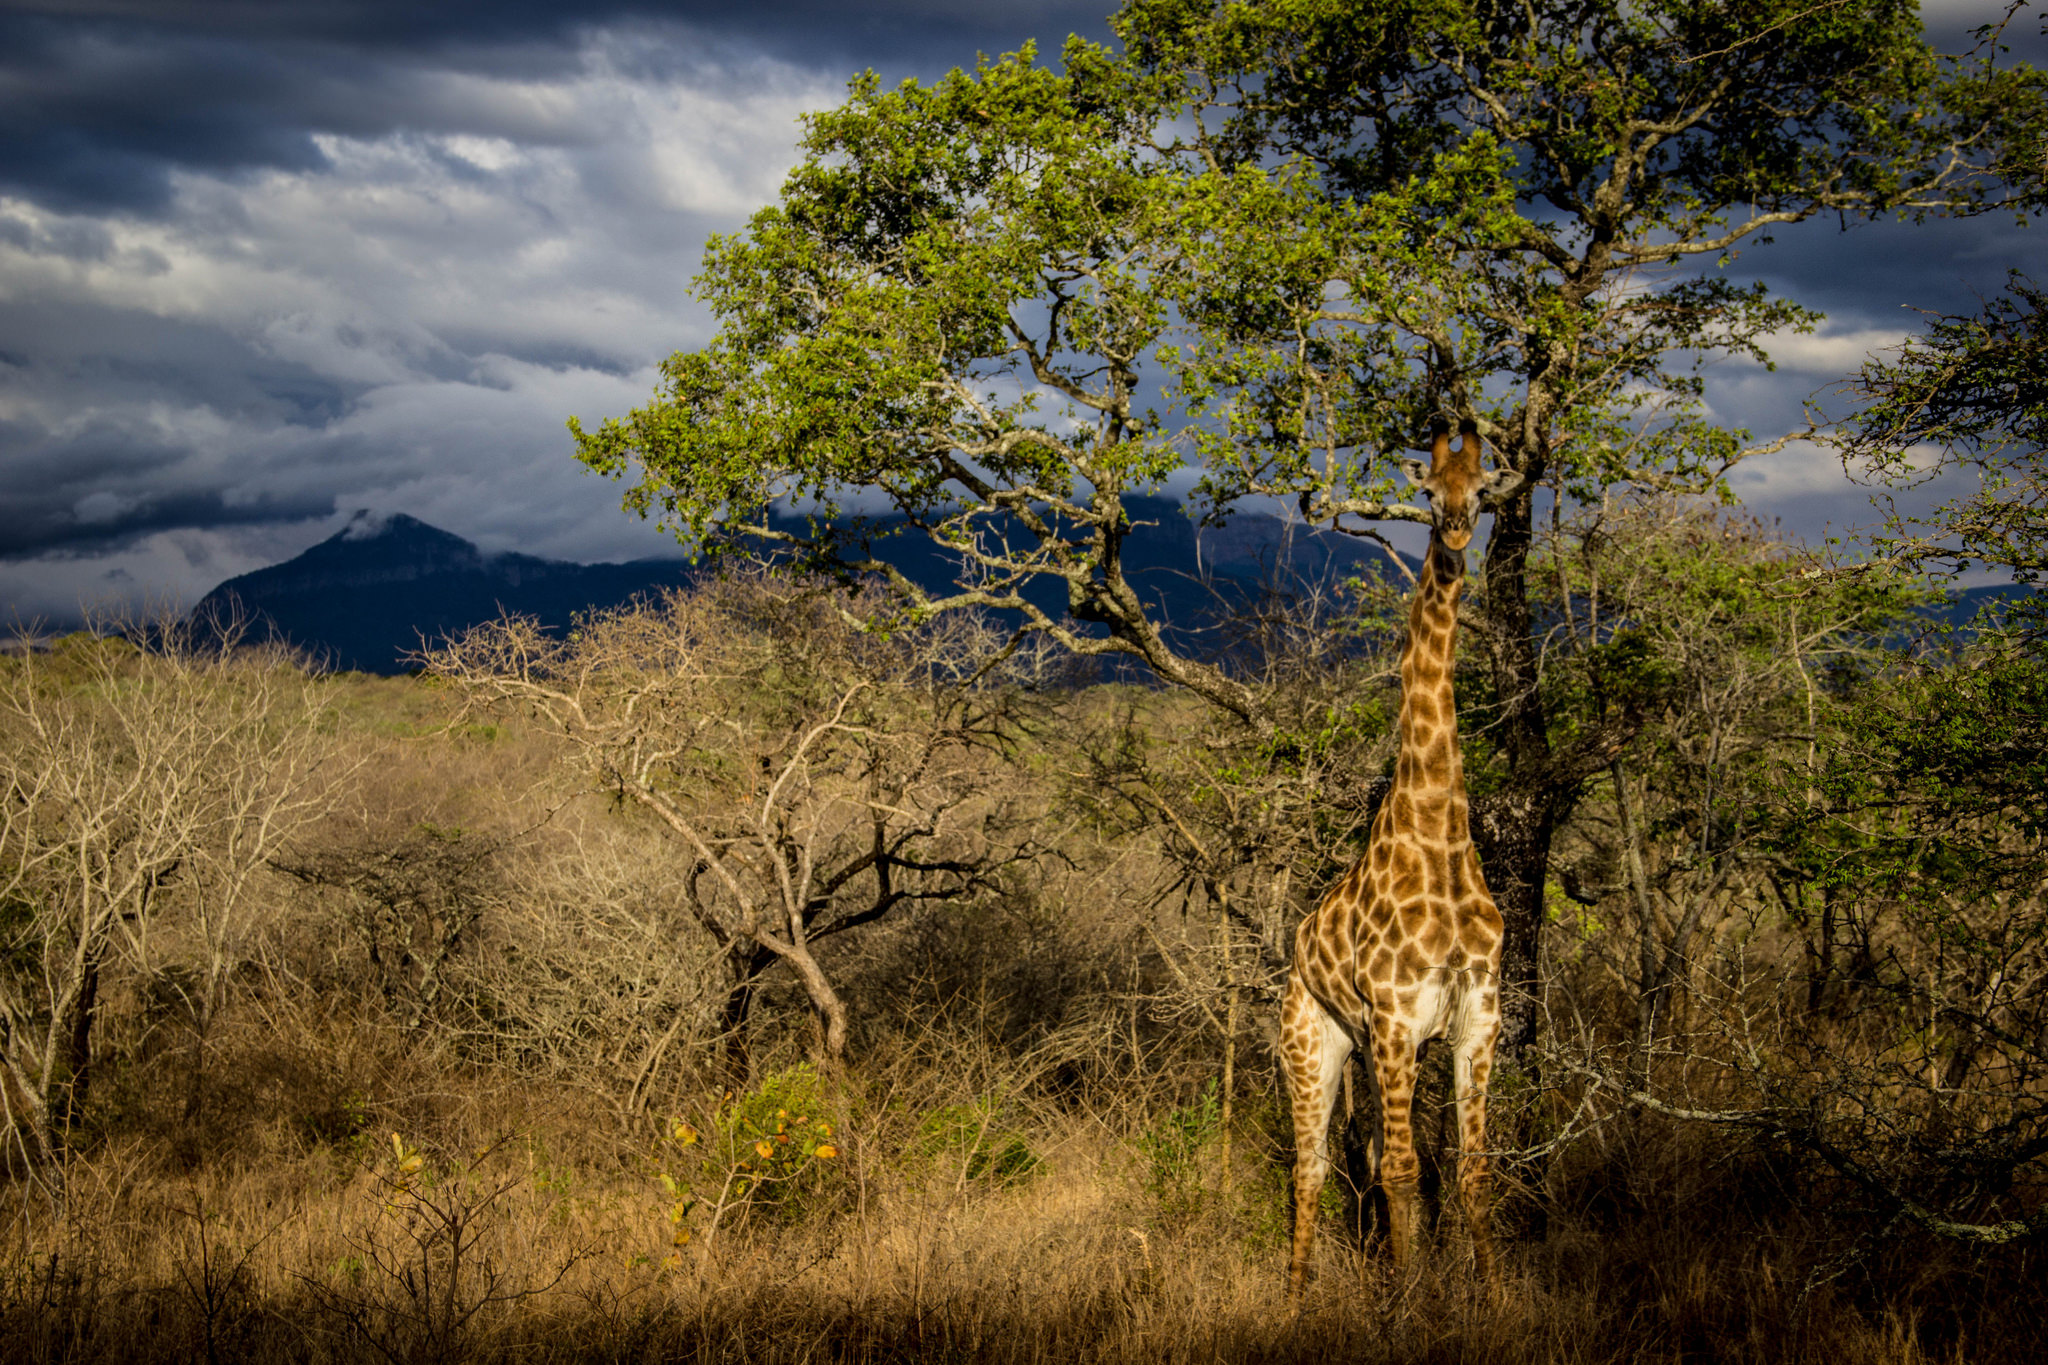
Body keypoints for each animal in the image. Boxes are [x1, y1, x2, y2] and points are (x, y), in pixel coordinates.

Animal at [1277, 417, 1523, 1301]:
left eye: (1482, 486)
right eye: (1427, 487)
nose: (1453, 532)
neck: (1439, 834)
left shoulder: (1478, 1015)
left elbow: (1471, 1169)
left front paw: (1492, 1298)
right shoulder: (1392, 1016)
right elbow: (1410, 1171)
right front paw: (1417, 1306)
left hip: (1380, 1050)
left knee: (1375, 1155)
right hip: (1312, 1040)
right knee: (1314, 1165)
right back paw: (1297, 1296)